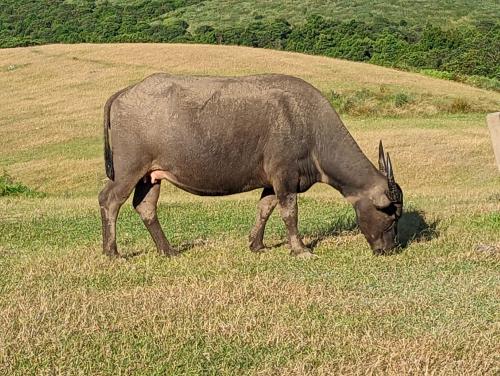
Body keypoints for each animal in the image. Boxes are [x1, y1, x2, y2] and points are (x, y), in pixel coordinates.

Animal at [98, 75, 402, 260]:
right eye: (390, 216)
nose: (389, 249)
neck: (312, 130)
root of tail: (124, 93)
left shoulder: (271, 181)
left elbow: (264, 209)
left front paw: (256, 244)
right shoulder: (284, 176)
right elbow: (289, 213)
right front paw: (300, 249)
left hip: (150, 175)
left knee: (145, 206)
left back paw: (168, 250)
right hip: (129, 170)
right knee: (110, 199)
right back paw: (113, 252)